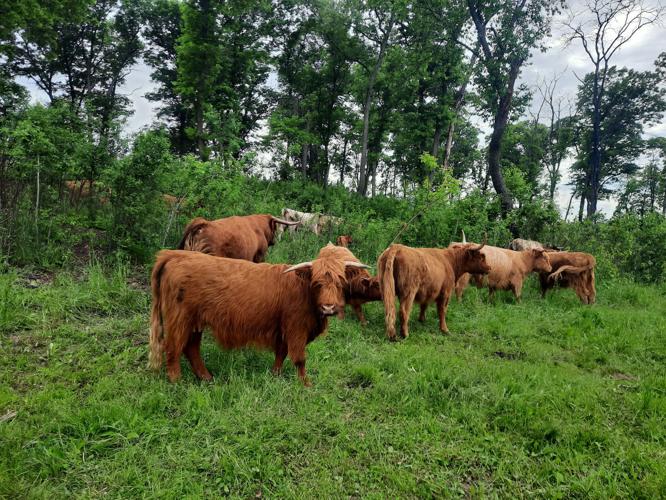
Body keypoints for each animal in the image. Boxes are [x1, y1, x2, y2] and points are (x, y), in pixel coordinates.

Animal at [148, 245, 370, 385]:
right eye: (317, 283)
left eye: (340, 282)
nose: (328, 307)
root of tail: (174, 255)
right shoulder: (296, 328)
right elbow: (299, 358)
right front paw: (305, 384)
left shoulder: (283, 329)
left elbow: (281, 353)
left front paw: (275, 375)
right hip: (179, 318)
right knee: (173, 348)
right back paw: (176, 381)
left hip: (195, 321)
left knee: (191, 348)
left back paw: (206, 378)